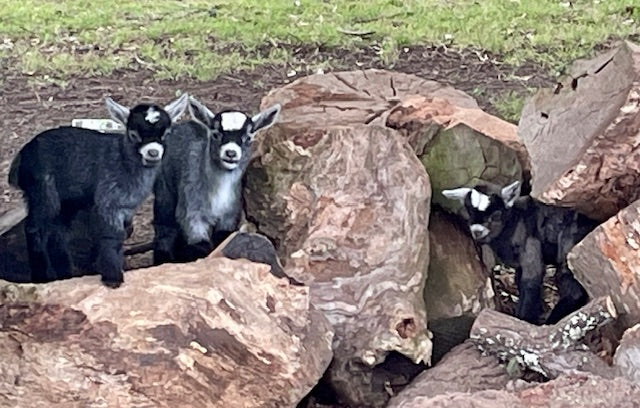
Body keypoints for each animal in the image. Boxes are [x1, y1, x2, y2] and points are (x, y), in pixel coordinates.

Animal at [8, 94, 189, 287]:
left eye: (166, 134)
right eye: (133, 134)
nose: (153, 152)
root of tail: (20, 158)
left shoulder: (125, 207)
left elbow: (122, 232)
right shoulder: (107, 199)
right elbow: (111, 235)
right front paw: (113, 279)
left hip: (68, 199)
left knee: (57, 232)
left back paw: (65, 274)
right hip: (42, 189)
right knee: (34, 228)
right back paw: (41, 278)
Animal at [152, 96, 281, 265]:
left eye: (248, 137)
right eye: (215, 133)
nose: (231, 153)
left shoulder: (230, 216)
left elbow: (222, 239)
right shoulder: (192, 214)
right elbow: (198, 246)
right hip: (164, 189)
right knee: (165, 228)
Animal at [442, 181, 598, 324]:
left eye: (496, 214)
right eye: (469, 212)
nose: (477, 231)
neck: (514, 221)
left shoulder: (530, 249)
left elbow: (530, 282)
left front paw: (525, 319)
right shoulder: (519, 266)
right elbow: (519, 281)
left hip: (569, 247)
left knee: (572, 285)